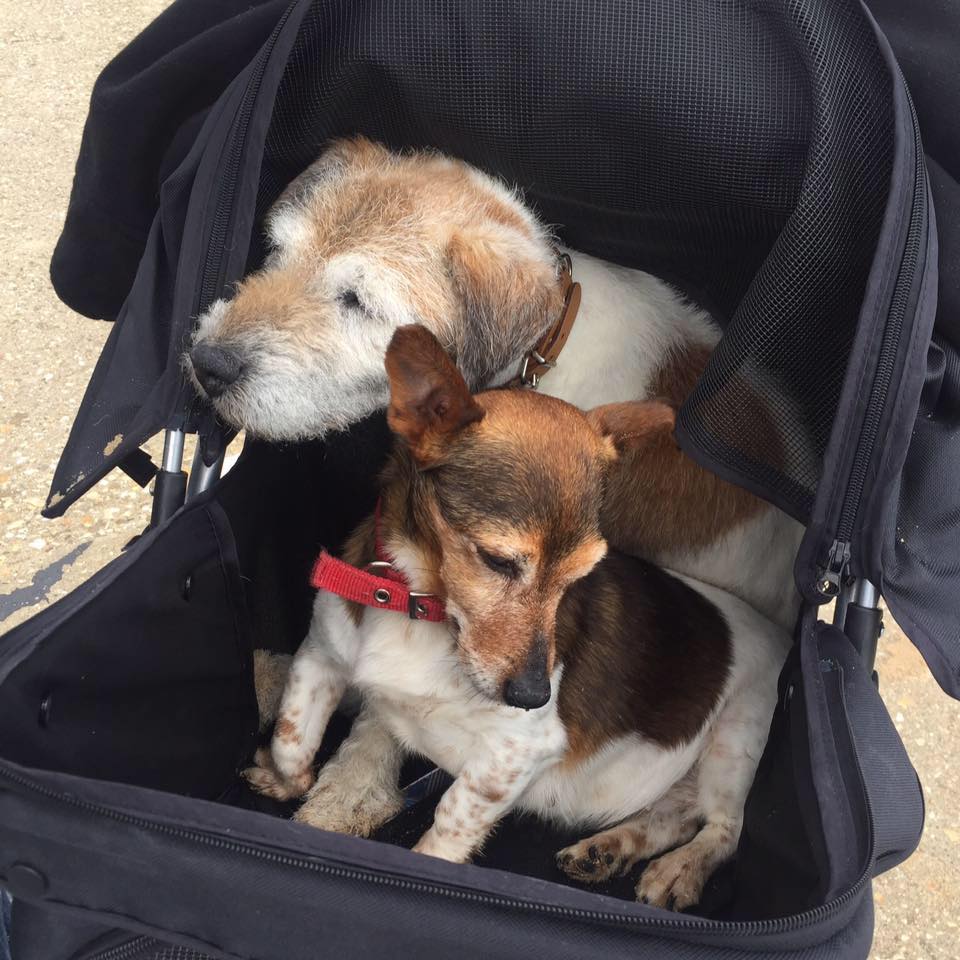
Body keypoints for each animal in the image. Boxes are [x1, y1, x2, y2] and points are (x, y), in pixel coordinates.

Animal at [246, 326, 788, 912]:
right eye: (498, 561)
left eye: (582, 574)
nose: (532, 695)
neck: (417, 605)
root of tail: (785, 637)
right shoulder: (321, 654)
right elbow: (292, 734)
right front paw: (286, 780)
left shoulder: (517, 752)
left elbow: (451, 816)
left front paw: (427, 864)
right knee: (676, 812)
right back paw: (608, 849)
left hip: (738, 736)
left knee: (724, 828)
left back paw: (679, 869)